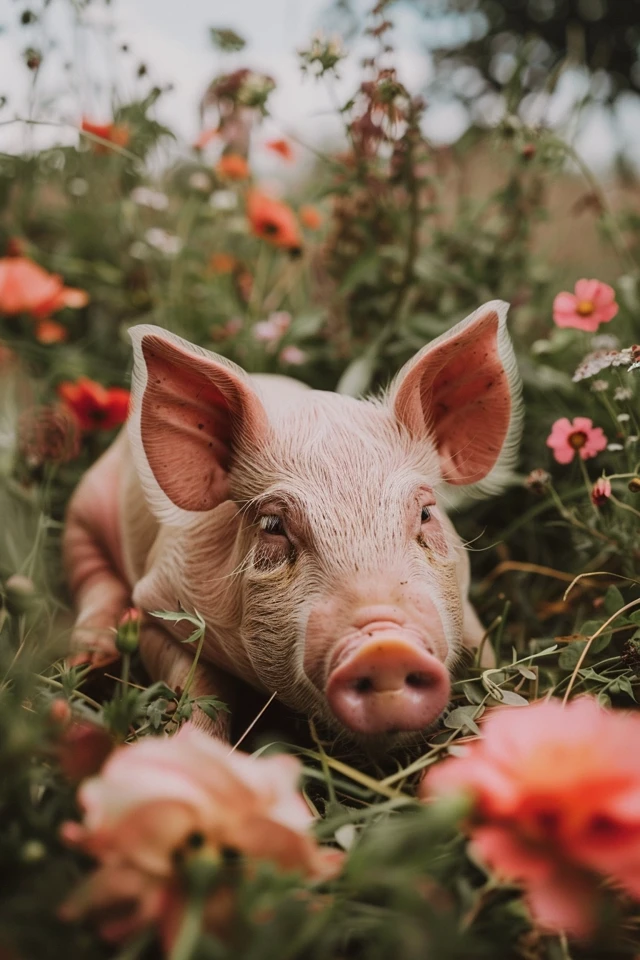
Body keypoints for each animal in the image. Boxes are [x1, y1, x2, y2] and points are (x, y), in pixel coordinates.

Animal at [63, 299, 522, 749]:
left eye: (425, 513)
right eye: (273, 524)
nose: (386, 647)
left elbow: (491, 670)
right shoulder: (159, 596)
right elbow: (195, 688)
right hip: (83, 506)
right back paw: (90, 659)